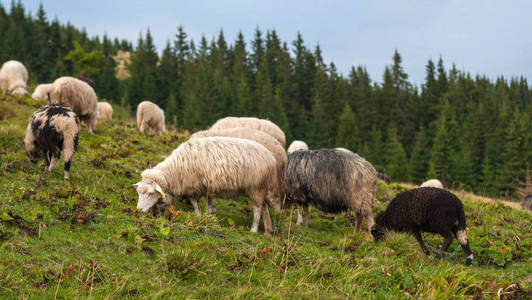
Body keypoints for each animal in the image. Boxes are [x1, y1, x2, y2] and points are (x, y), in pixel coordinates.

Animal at [135, 137, 280, 236]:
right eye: (139, 193)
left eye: (150, 193)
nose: (138, 211)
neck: (175, 169)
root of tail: (271, 158)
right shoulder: (203, 187)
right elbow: (201, 203)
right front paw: (202, 216)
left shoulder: (194, 186)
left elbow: (195, 203)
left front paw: (199, 217)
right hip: (261, 188)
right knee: (264, 207)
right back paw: (267, 231)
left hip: (256, 187)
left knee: (257, 209)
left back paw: (253, 230)